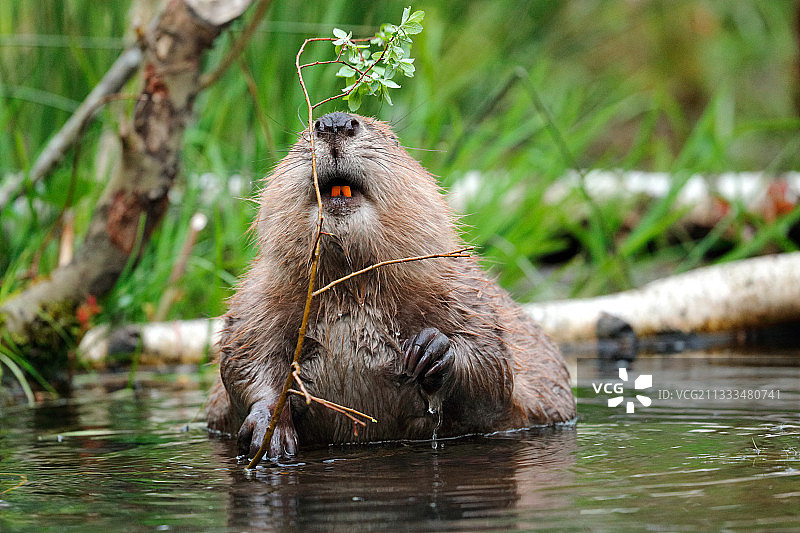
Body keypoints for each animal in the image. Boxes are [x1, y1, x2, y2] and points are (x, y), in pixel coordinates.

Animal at [203, 111, 572, 458]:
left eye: (392, 138)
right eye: (301, 136)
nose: (334, 122)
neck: (350, 288)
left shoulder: (465, 290)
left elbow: (493, 370)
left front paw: (430, 350)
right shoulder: (257, 294)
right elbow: (245, 357)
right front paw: (270, 434)